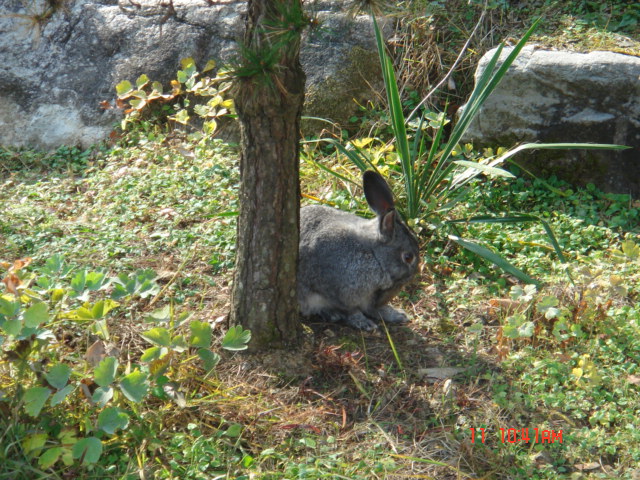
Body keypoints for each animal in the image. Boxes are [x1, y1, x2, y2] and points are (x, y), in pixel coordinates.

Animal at [298, 171, 420, 332]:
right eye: (408, 257)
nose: (414, 274)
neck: (374, 255)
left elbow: (374, 308)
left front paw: (396, 314)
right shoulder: (339, 292)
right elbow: (351, 310)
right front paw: (363, 322)